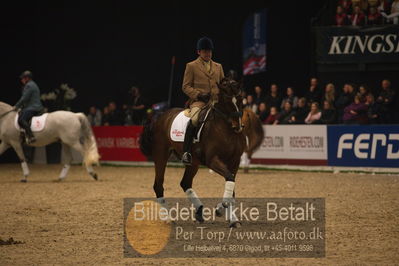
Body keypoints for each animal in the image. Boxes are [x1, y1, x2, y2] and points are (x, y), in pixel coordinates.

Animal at [141, 78, 247, 228]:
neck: (227, 130)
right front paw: (222, 209)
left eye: (240, 99)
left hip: (194, 162)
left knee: (185, 183)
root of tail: (159, 117)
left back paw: (199, 212)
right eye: (227, 101)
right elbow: (229, 178)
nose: (237, 127)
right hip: (160, 155)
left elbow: (231, 183)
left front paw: (231, 218)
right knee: (158, 184)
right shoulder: (212, 160)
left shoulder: (235, 161)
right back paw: (168, 218)